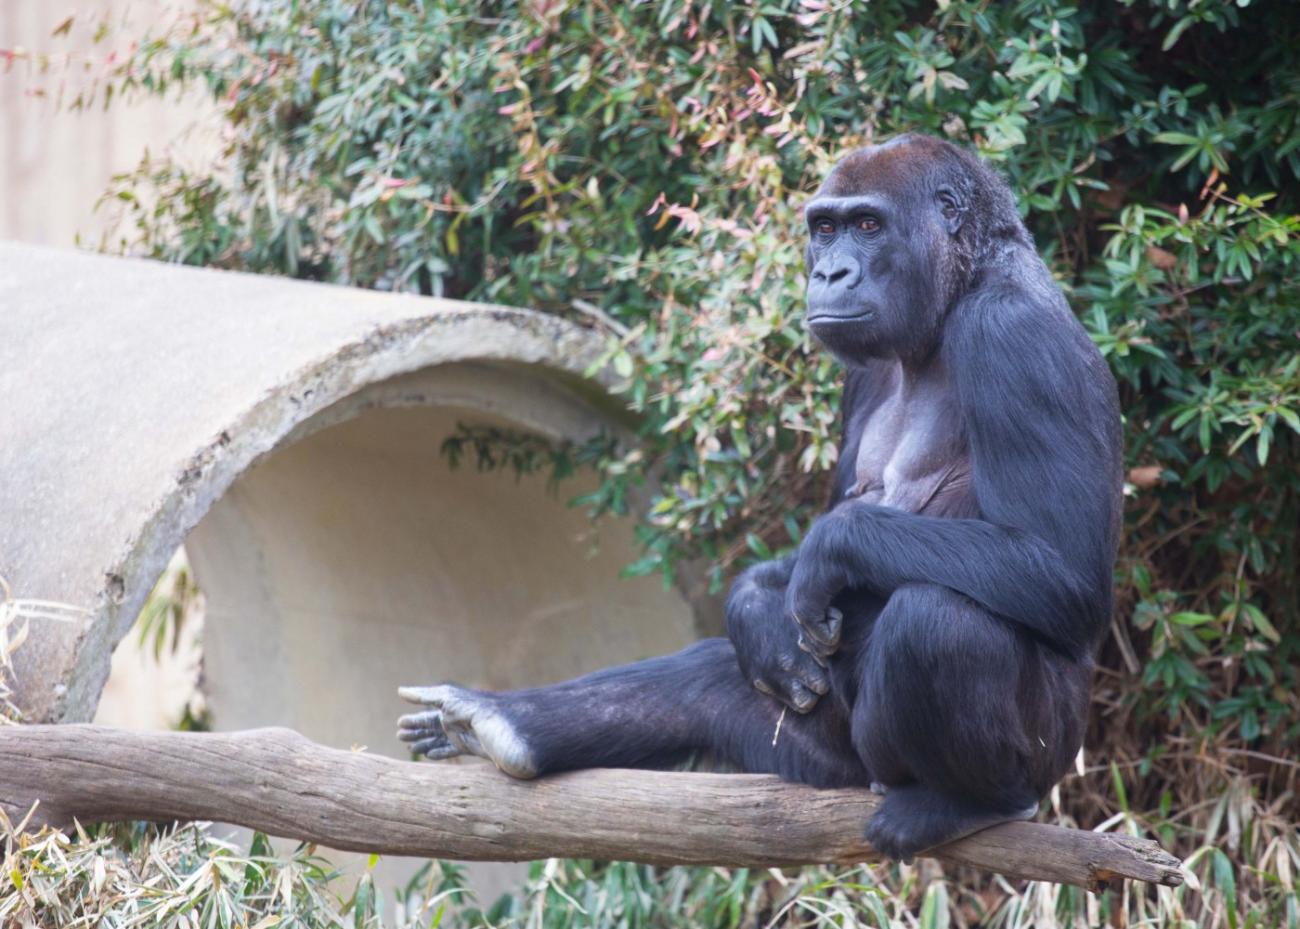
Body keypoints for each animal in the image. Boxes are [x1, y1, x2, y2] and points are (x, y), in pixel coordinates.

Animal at [392, 134, 1118, 862]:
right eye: (824, 229)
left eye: (868, 225)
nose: (830, 274)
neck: (957, 290)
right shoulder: (864, 371)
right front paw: (756, 614)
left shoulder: (1009, 335)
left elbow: (1057, 569)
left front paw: (833, 549)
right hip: (835, 761)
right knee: (710, 680)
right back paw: (500, 722)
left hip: (1046, 755)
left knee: (938, 620)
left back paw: (970, 800)